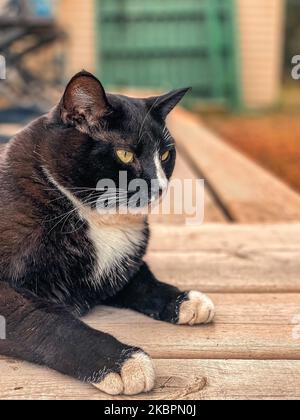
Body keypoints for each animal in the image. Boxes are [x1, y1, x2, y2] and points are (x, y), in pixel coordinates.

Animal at [0, 72, 216, 398]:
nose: (161, 187)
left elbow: (142, 279)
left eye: (165, 154)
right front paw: (120, 361)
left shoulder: (119, 266)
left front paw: (183, 299)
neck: (96, 218)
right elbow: (45, 318)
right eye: (125, 154)